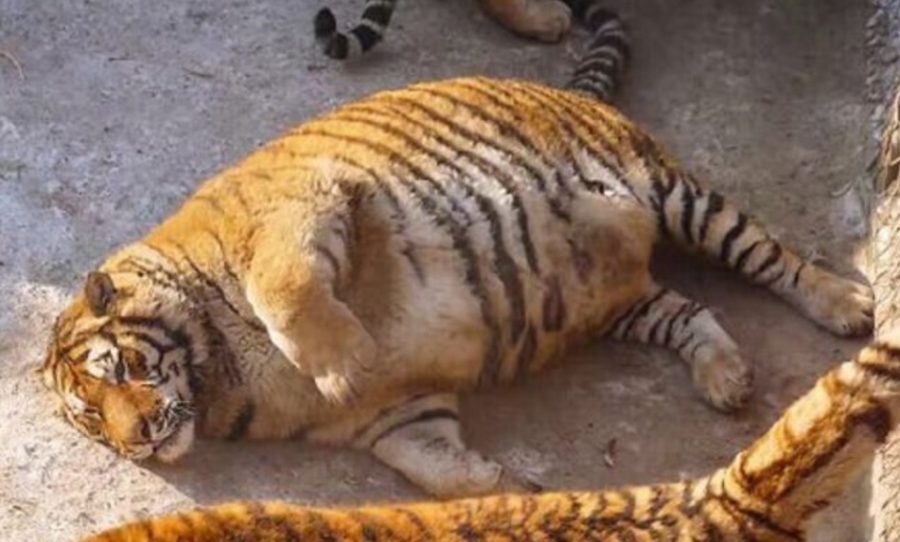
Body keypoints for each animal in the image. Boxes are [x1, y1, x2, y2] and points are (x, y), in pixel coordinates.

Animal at [40, 13, 872, 499]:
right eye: (93, 416)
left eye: (121, 368)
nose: (139, 440)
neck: (221, 378)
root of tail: (570, 89)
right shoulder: (394, 417)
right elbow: (433, 470)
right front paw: (502, 486)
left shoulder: (299, 211)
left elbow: (288, 291)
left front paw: (345, 360)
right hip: (621, 304)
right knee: (689, 310)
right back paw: (727, 379)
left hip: (674, 194)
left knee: (770, 257)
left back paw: (849, 304)